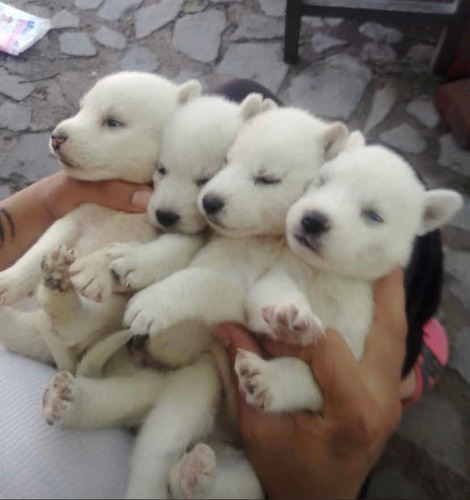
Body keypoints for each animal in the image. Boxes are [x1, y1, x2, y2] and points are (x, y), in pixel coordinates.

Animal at [239, 140, 462, 414]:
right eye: (321, 181)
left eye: (373, 215)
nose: (313, 219)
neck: (330, 276)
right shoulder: (284, 270)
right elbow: (271, 289)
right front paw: (289, 313)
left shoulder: (355, 348)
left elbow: (311, 379)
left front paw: (271, 379)